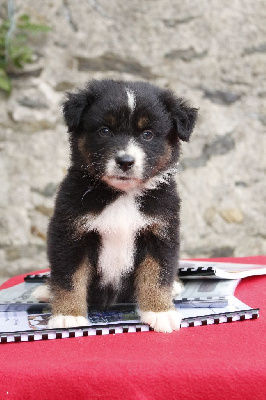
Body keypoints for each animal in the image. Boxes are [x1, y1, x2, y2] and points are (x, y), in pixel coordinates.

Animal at [47, 79, 197, 332]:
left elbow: (157, 275)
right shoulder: (69, 233)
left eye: (147, 134)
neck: (122, 196)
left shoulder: (160, 233)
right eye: (105, 130)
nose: (125, 162)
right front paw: (68, 315)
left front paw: (160, 311)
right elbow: (69, 278)